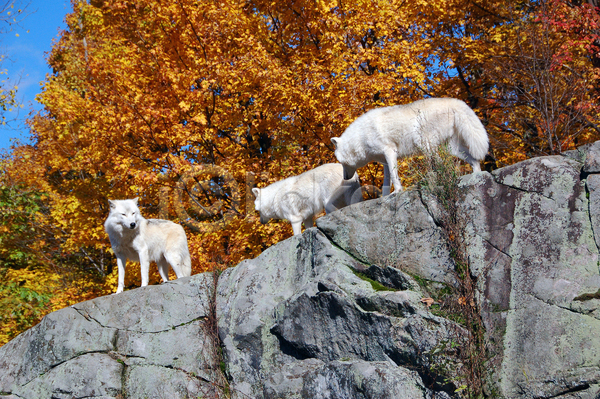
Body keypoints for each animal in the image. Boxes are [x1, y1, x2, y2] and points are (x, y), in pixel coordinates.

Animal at [330, 98, 490, 195]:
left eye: (341, 162)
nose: (345, 177)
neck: (360, 137)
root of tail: (455, 102)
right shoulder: (384, 161)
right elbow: (386, 183)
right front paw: (384, 197)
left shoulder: (390, 151)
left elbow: (395, 177)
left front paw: (397, 191)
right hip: (451, 148)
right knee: (473, 160)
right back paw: (476, 176)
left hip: (426, 145)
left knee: (442, 164)